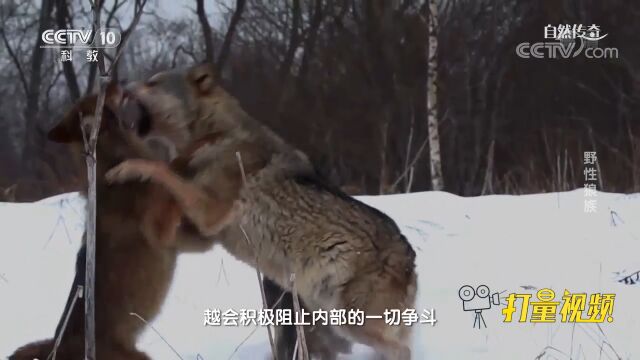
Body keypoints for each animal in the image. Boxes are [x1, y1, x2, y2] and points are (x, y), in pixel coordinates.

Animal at [9, 83, 215, 360]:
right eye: (102, 96)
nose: (115, 82)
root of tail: (57, 345)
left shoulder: (180, 242)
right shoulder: (160, 227)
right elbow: (170, 167)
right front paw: (202, 144)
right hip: (140, 356)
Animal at [107, 63, 418, 358]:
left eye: (153, 82)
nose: (122, 83)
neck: (216, 135)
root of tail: (410, 260)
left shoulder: (210, 212)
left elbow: (160, 168)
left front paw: (128, 168)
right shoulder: (202, 232)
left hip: (347, 321)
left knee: (401, 350)